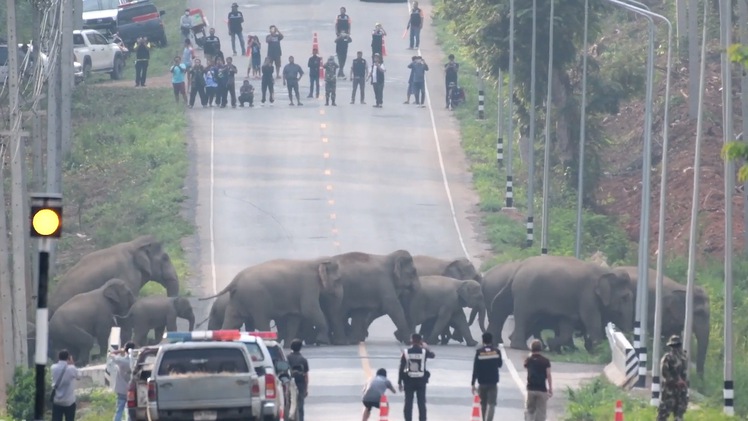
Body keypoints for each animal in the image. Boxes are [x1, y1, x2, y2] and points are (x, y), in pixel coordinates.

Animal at [202, 256, 342, 344]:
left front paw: (289, 346)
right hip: (256, 299)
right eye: (338, 280)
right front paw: (322, 341)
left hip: (237, 300)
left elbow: (294, 317)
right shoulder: (308, 285)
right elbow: (309, 310)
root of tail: (234, 281)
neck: (316, 261)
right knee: (261, 321)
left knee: (232, 319)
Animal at [488, 256, 636, 352]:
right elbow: (591, 320)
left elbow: (568, 323)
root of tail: (517, 270)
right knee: (524, 316)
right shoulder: (587, 295)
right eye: (625, 297)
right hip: (525, 294)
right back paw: (520, 347)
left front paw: (554, 344)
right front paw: (597, 350)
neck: (606, 272)